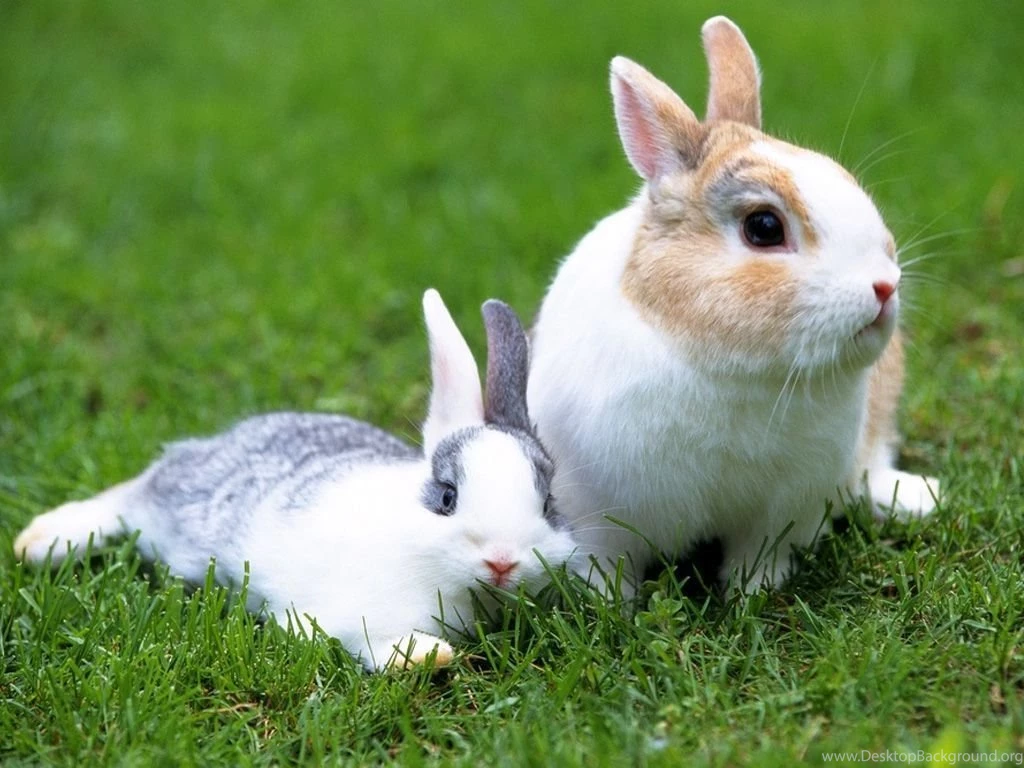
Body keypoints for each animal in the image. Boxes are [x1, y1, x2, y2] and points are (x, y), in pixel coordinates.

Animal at [14, 290, 578, 671]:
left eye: (548, 504)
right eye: (446, 497)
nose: (502, 561)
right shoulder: (349, 612)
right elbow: (368, 636)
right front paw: (426, 657)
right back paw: (39, 542)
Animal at [526, 16, 940, 593]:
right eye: (764, 227)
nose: (884, 287)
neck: (734, 371)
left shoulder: (785, 509)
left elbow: (761, 558)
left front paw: (752, 595)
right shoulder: (596, 515)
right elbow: (608, 569)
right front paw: (611, 604)